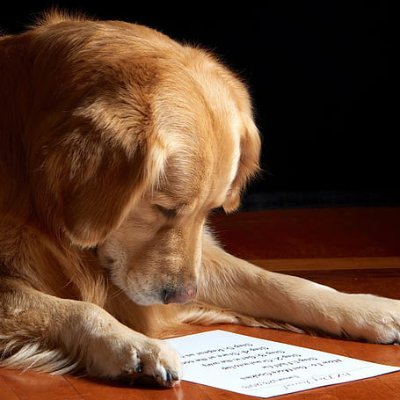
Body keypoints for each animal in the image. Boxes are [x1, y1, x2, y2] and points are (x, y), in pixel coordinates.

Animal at [0, 11, 400, 388]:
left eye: (209, 211)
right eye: (163, 209)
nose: (182, 296)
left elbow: (282, 282)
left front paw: (367, 309)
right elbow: (79, 309)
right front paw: (133, 346)